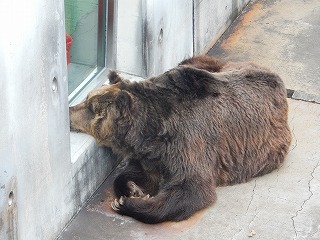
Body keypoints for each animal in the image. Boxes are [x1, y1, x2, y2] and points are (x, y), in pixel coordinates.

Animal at [70, 54, 292, 223]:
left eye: (91, 107)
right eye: (87, 99)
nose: (69, 110)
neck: (151, 131)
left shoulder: (188, 142)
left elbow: (190, 188)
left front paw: (128, 203)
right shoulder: (152, 155)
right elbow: (136, 174)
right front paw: (133, 190)